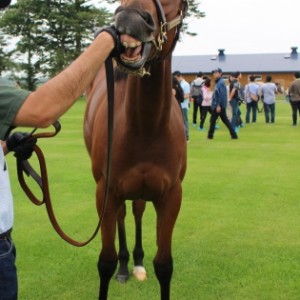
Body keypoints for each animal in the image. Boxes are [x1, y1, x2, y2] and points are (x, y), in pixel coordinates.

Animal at [84, 1, 188, 298]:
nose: (129, 19)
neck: (146, 128)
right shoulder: (106, 192)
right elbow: (105, 263)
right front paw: (117, 265)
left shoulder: (172, 196)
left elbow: (164, 265)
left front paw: (145, 263)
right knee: (122, 215)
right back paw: (124, 267)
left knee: (138, 209)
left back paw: (138, 263)